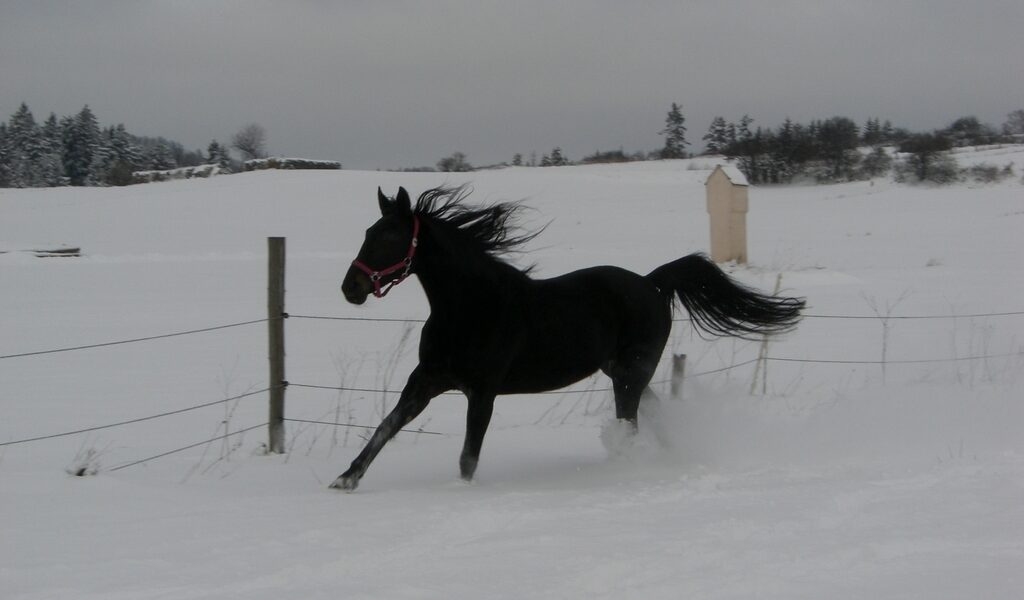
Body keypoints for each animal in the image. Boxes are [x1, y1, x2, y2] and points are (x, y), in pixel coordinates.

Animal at [333, 185, 804, 491]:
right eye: (367, 233)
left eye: (390, 236)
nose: (351, 288)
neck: (470, 308)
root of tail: (652, 283)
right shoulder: (427, 380)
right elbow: (386, 426)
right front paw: (345, 479)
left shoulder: (482, 391)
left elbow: (468, 454)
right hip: (625, 373)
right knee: (651, 414)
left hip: (629, 375)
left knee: (632, 421)